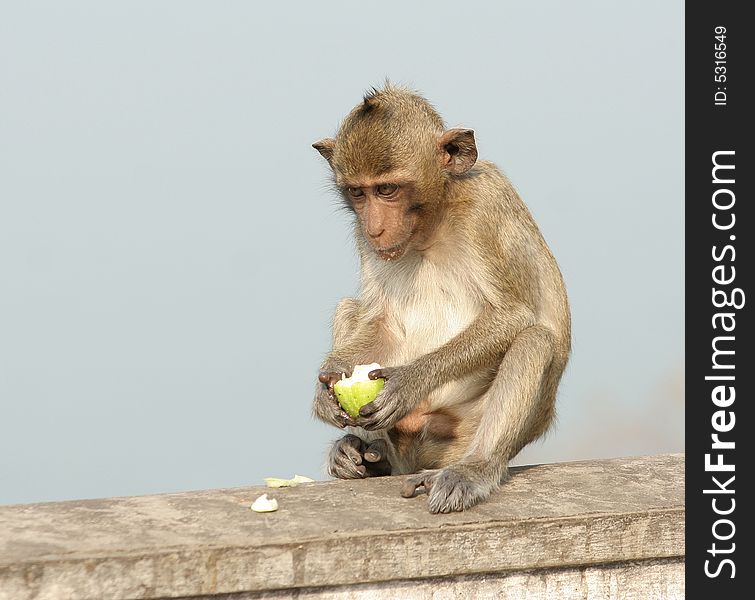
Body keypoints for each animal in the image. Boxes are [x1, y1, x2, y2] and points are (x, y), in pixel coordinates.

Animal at [310, 84, 568, 512]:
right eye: (357, 193)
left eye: (387, 189)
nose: (375, 228)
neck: (432, 222)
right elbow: (380, 320)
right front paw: (324, 391)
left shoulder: (485, 205)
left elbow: (513, 315)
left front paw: (408, 382)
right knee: (351, 308)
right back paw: (363, 454)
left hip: (463, 430)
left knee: (535, 340)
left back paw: (474, 469)